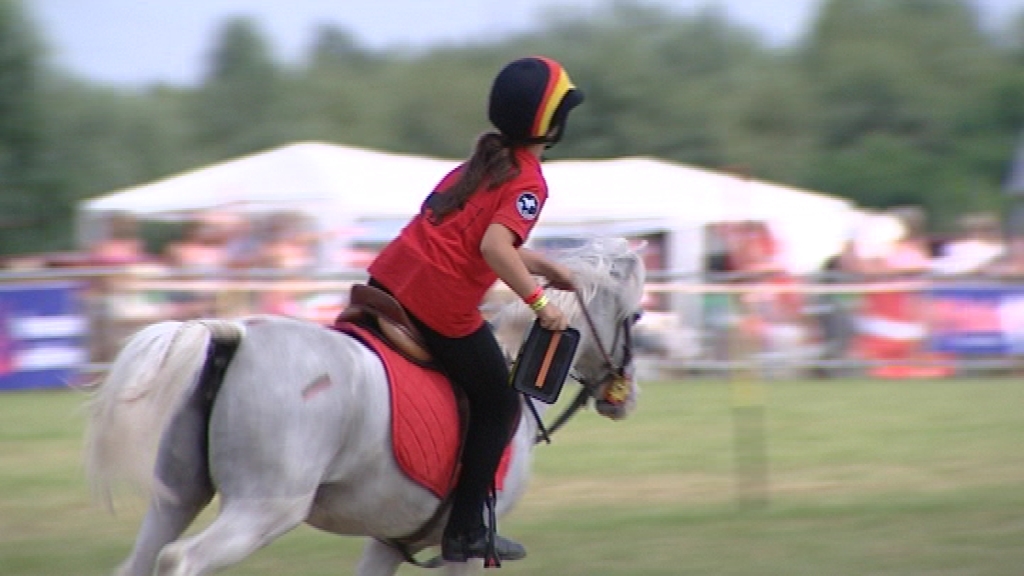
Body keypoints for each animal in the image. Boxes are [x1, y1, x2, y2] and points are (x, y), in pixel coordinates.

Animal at [83, 236, 643, 573]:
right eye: (637, 317)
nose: (626, 397)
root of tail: (233, 333)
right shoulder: (461, 552)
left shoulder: (386, 540)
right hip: (264, 510)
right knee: (181, 559)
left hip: (176, 499)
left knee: (142, 560)